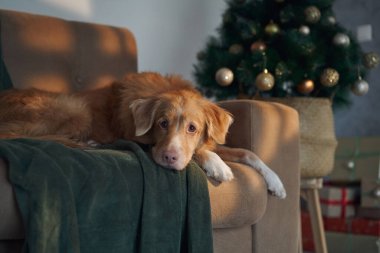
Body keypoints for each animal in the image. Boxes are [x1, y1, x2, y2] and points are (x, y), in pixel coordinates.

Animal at [0, 71, 284, 198]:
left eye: (192, 128)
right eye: (162, 123)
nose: (170, 158)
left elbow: (247, 152)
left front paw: (276, 181)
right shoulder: (139, 140)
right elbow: (201, 152)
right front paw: (218, 165)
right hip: (75, 109)